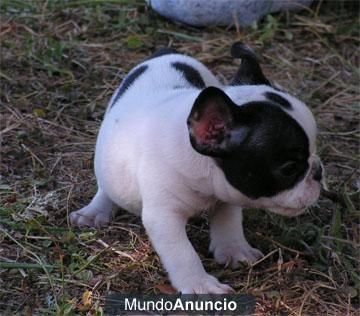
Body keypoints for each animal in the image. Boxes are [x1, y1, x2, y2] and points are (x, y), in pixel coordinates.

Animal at [70, 42, 324, 294]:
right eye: (289, 168)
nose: (319, 171)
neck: (200, 167)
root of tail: (165, 53)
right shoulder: (164, 216)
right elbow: (182, 253)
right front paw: (200, 285)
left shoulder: (227, 193)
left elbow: (228, 220)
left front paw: (235, 250)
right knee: (106, 187)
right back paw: (94, 211)